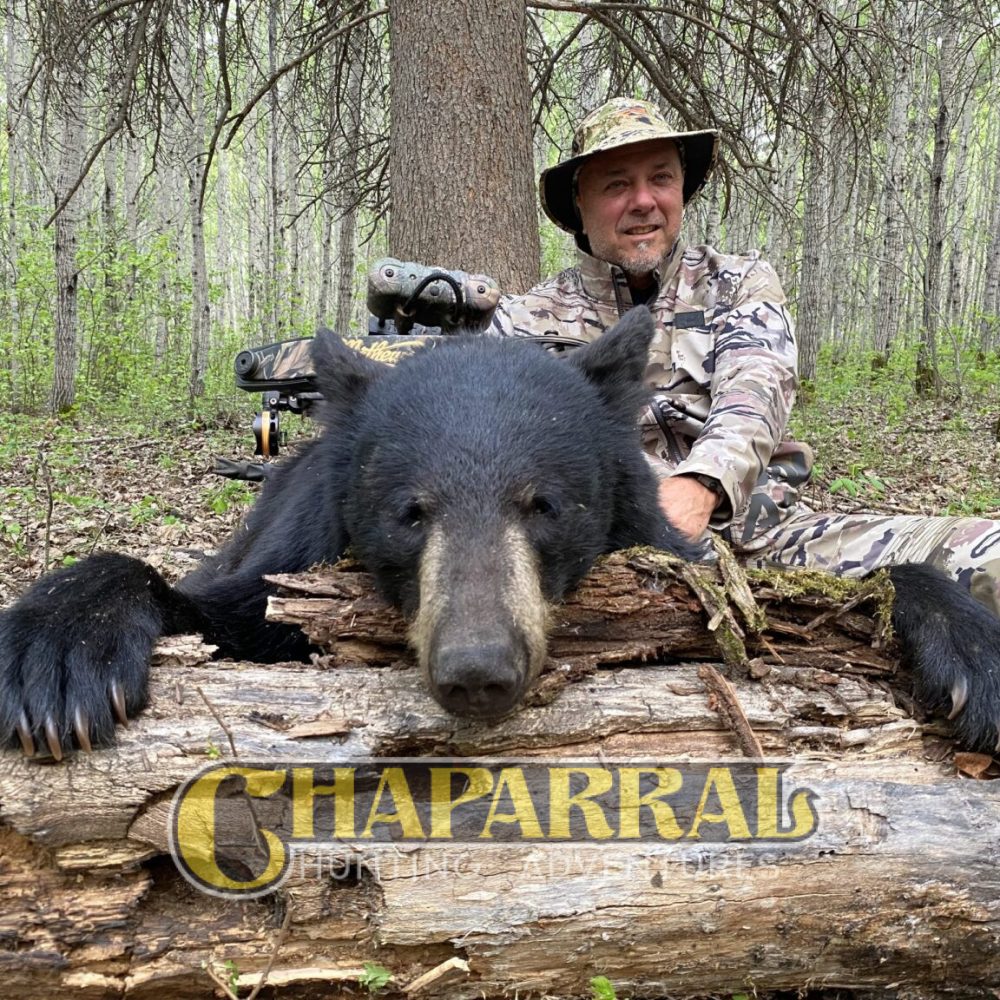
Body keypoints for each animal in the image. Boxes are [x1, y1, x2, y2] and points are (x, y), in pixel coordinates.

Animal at [2, 306, 1000, 758]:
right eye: (411, 512)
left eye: (542, 504)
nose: (477, 668)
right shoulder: (281, 568)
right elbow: (202, 598)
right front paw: (56, 655)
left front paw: (973, 657)